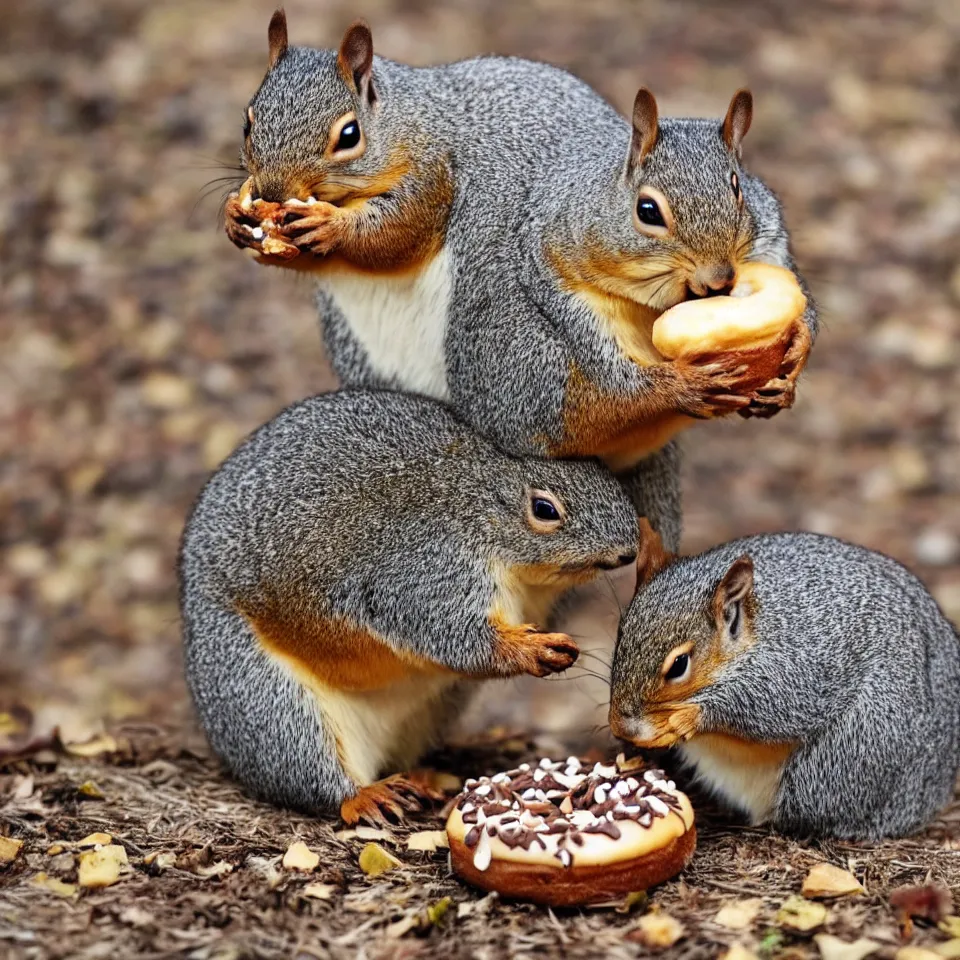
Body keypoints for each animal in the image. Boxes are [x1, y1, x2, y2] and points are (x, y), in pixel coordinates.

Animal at [180, 386, 644, 820]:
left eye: (606, 475)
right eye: (545, 509)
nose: (628, 551)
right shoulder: (420, 566)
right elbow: (445, 629)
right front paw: (528, 649)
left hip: (435, 709)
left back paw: (423, 777)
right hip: (262, 699)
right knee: (307, 769)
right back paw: (363, 796)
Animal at [223, 11, 816, 552]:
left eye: (349, 135)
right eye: (247, 123)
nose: (271, 191)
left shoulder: (434, 172)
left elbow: (399, 233)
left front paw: (795, 353)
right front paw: (239, 222)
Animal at [608, 516, 960, 840]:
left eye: (679, 665)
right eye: (620, 635)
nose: (620, 726)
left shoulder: (802, 664)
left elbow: (776, 708)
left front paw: (688, 718)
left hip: (848, 755)